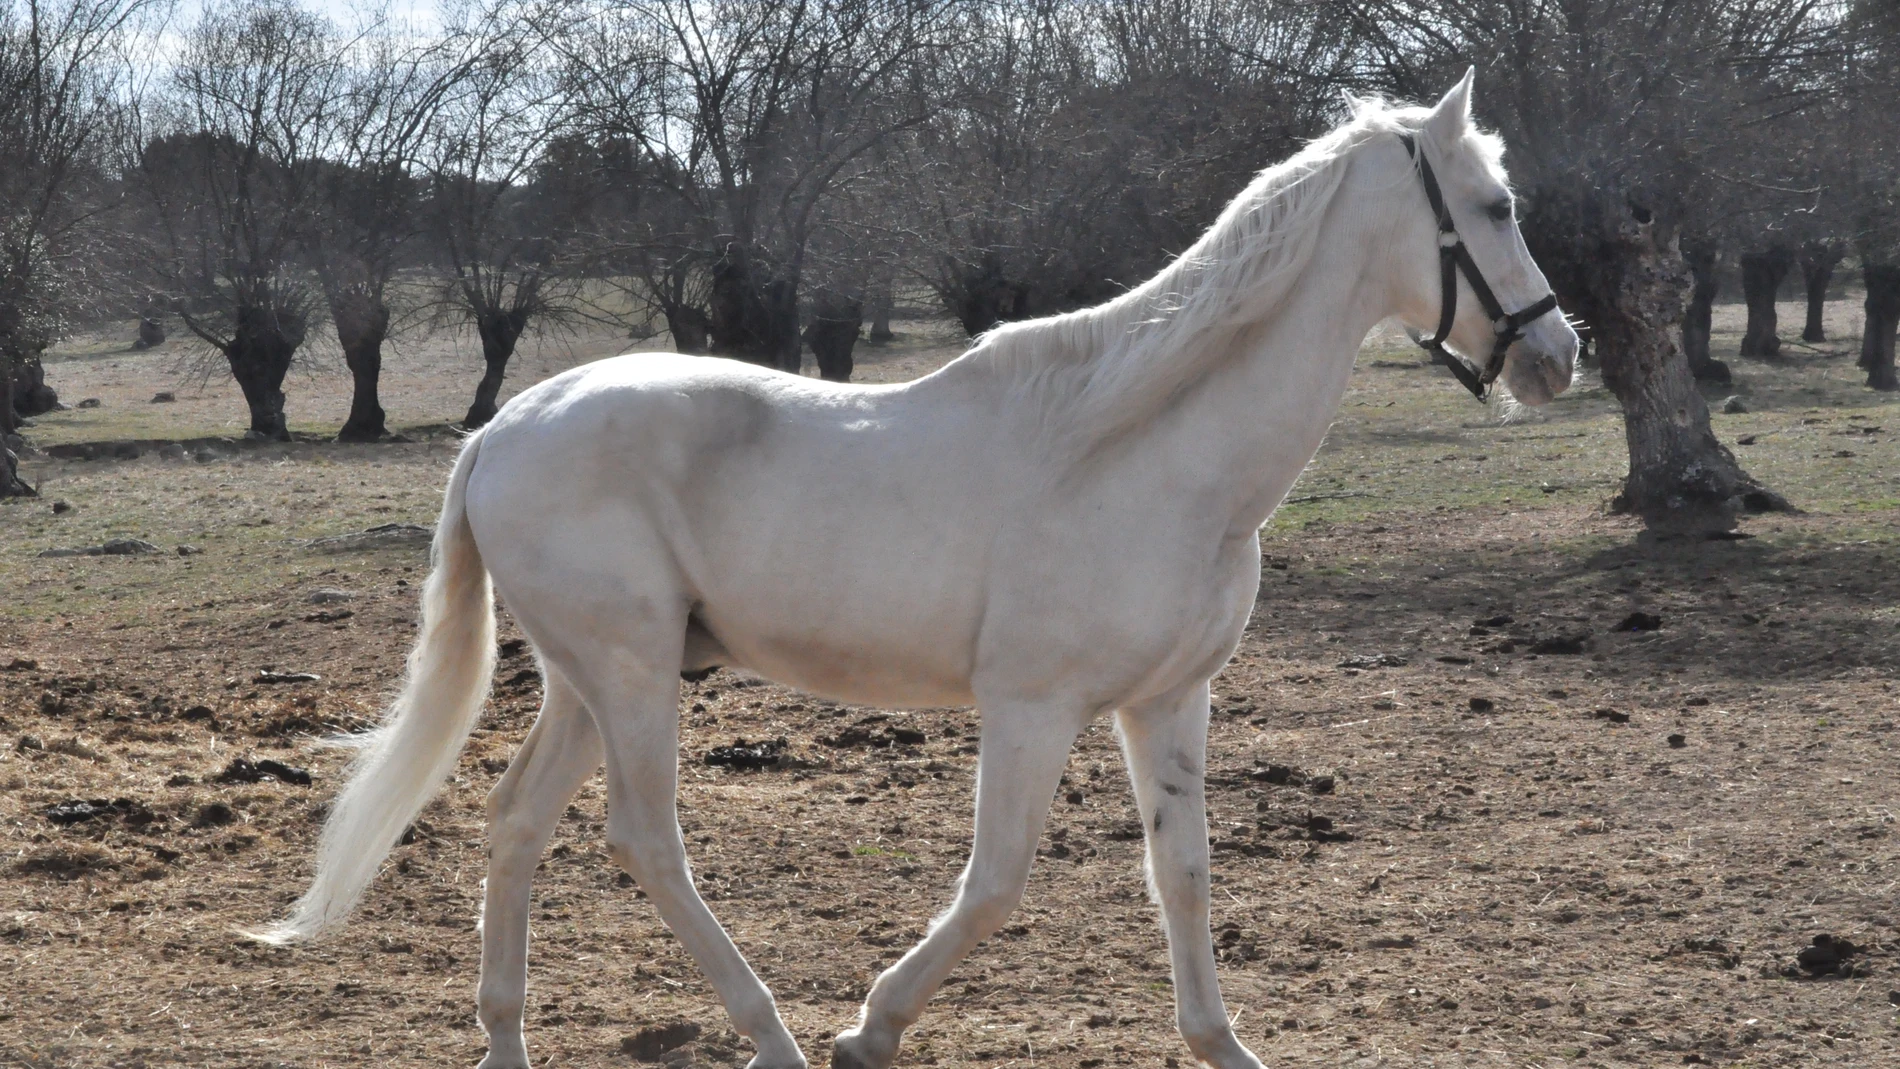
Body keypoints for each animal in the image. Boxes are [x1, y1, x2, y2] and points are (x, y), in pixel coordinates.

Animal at [260, 75, 1580, 1069]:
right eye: (1495, 204)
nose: (1558, 356)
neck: (1146, 454)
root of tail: (503, 427)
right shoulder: (1032, 708)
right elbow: (994, 880)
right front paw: (870, 1029)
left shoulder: (1167, 700)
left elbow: (1185, 872)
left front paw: (1222, 1044)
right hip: (628, 674)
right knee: (646, 837)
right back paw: (775, 1036)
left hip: (591, 679)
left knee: (516, 821)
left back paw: (506, 1039)